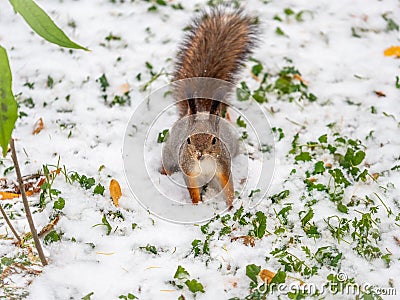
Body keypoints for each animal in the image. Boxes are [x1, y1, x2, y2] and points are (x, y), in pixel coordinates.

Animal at [162, 7, 260, 209]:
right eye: (189, 140)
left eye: (214, 140)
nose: (200, 154)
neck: (205, 163)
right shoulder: (189, 171)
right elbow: (192, 190)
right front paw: (197, 205)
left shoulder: (223, 167)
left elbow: (228, 187)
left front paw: (231, 207)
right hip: (169, 155)